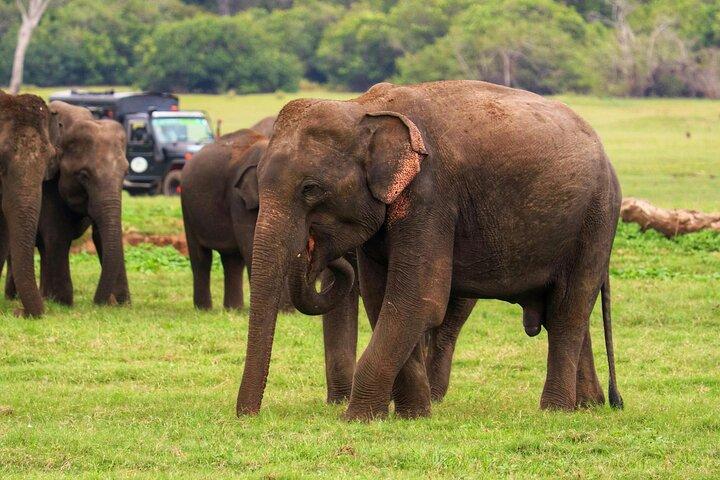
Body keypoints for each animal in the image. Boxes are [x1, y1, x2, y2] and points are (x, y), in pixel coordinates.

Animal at [5, 100, 130, 306]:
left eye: (125, 173)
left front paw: (123, 304)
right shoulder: (49, 184)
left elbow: (101, 234)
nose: (99, 302)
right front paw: (63, 303)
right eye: (83, 175)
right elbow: (57, 233)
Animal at [235, 80, 623, 420]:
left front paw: (357, 418)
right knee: (567, 311)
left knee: (569, 309)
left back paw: (555, 410)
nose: (247, 417)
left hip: (596, 219)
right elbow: (381, 300)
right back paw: (587, 405)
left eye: (311, 189)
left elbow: (417, 300)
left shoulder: (431, 195)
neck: (363, 107)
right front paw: (413, 415)